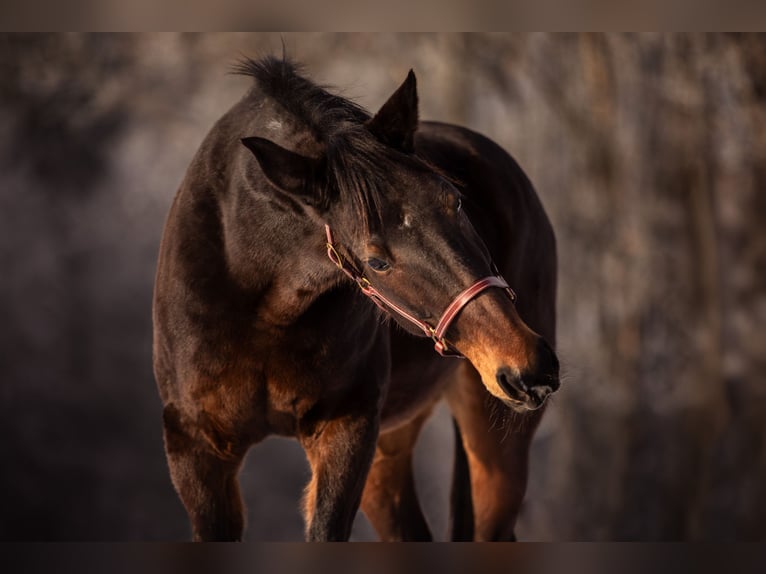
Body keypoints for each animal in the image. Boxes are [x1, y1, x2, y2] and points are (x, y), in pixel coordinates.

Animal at [152, 56, 559, 542]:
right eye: (376, 261)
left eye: (456, 202)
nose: (530, 366)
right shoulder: (196, 449)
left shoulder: (347, 430)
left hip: (493, 438)